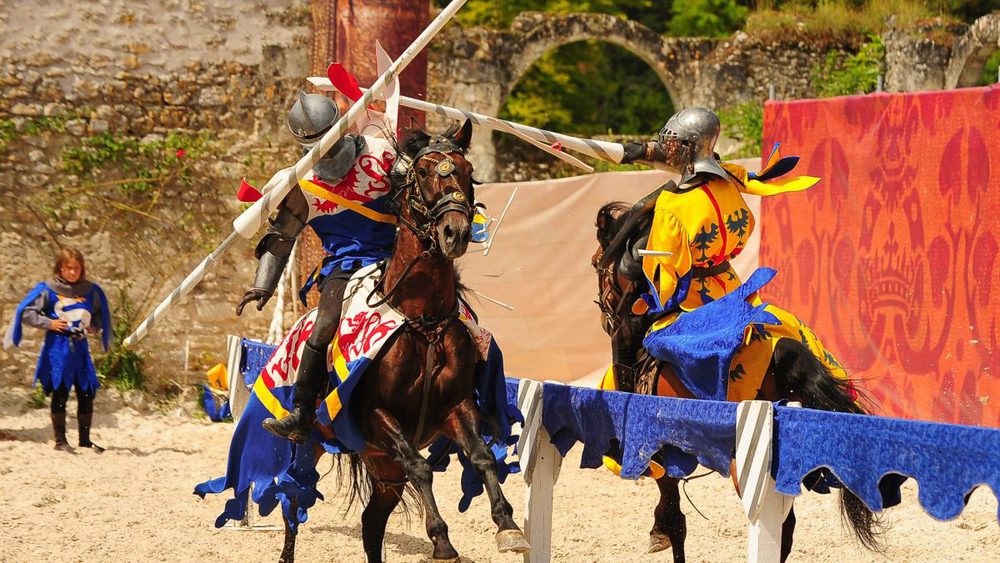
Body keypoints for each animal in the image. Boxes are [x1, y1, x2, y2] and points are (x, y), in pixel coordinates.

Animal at [280, 120, 532, 563]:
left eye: (467, 171)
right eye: (424, 173)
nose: (455, 233)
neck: (422, 320)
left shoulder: (455, 407)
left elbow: (482, 457)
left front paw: (508, 526)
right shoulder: (376, 417)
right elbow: (422, 468)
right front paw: (442, 539)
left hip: (383, 466)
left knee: (371, 521)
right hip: (314, 447)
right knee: (292, 503)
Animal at [588, 200, 880, 560]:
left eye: (597, 263)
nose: (606, 319)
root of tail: (784, 348)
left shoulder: (665, 455)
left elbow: (675, 519)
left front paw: (660, 532)